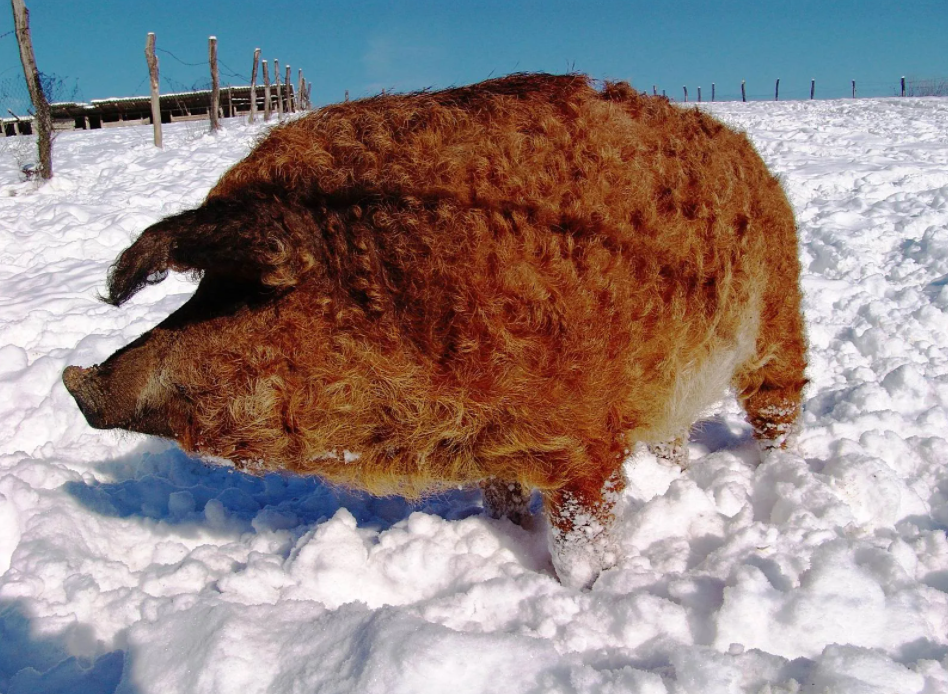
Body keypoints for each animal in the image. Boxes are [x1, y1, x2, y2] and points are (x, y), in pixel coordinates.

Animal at [65, 75, 808, 588]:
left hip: (778, 320)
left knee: (778, 405)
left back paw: (780, 473)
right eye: (201, 291)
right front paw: (508, 534)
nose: (75, 381)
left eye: (241, 292)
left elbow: (577, 539)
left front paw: (591, 589)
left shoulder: (583, 439)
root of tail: (751, 157)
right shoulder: (501, 445)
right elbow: (505, 502)